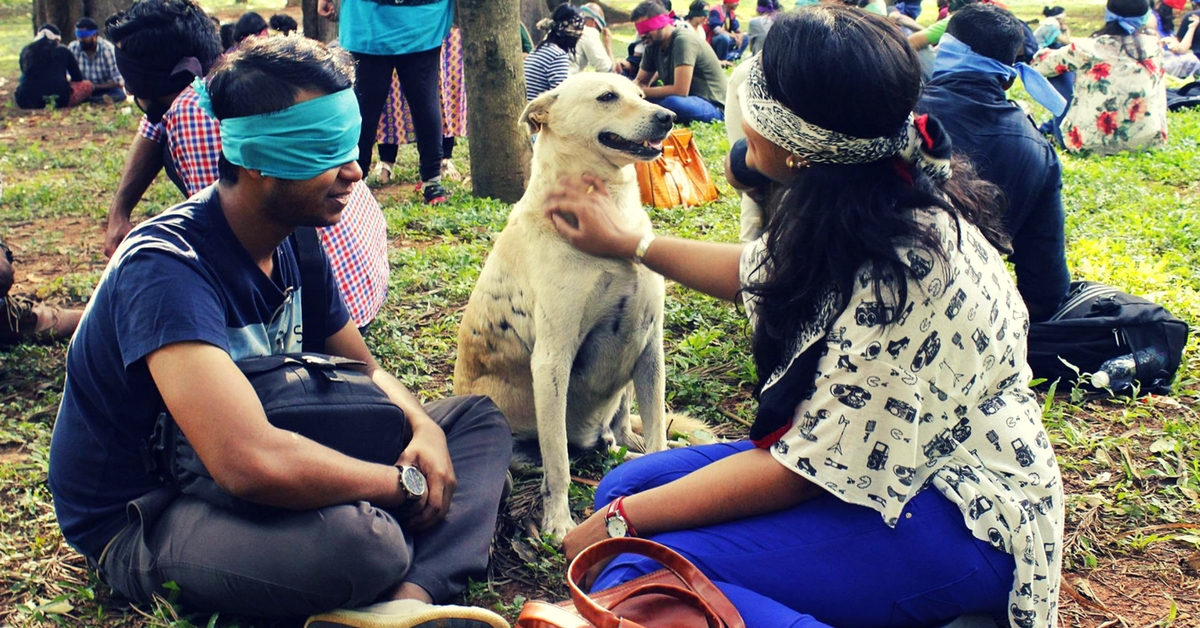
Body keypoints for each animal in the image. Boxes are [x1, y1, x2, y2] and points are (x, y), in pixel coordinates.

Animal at [451, 76, 676, 540]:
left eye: (640, 94)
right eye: (607, 97)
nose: (669, 116)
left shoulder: (650, 347)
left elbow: (658, 434)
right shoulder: (552, 361)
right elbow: (559, 465)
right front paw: (558, 521)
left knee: (621, 429)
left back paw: (627, 447)